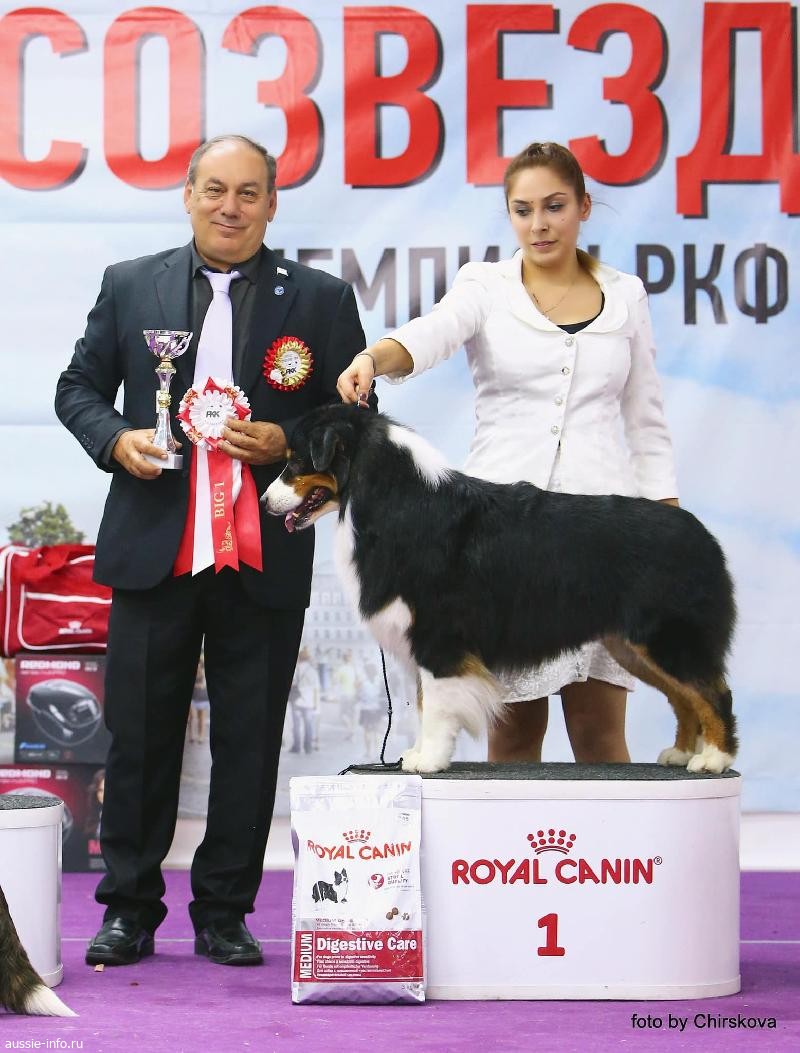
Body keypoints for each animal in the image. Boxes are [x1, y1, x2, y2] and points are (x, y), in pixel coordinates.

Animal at [264, 404, 737, 775]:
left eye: (296, 461)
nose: (266, 503)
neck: (391, 499)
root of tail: (702, 535)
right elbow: (422, 702)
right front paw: (416, 753)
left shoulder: (438, 636)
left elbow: (436, 705)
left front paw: (429, 760)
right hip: (633, 647)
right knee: (683, 697)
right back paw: (680, 752)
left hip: (668, 637)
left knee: (713, 693)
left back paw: (713, 759)